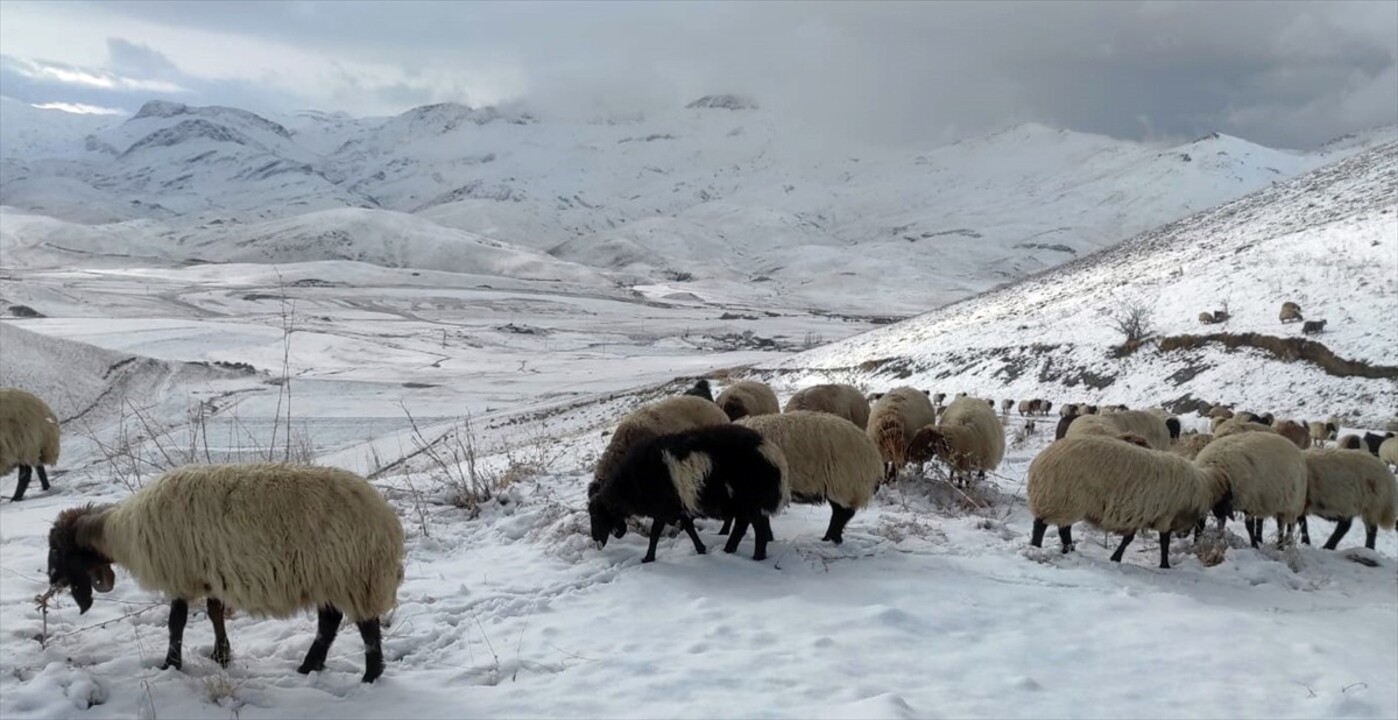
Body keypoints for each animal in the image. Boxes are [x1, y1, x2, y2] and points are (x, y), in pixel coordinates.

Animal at [45, 464, 405, 685]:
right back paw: (309, 667)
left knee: (365, 627)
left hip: (351, 573)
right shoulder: (209, 573)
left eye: (57, 547)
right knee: (330, 623)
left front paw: (171, 664)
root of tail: (386, 520)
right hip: (331, 577)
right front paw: (221, 655)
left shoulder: (181, 573)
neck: (121, 531)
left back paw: (369, 675)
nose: (50, 579)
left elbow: (176, 622)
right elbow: (214, 612)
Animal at [587, 422, 788, 564]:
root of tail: (772, 453)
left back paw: (756, 557)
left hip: (750, 501)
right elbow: (688, 528)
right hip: (746, 503)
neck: (631, 483)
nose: (595, 539)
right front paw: (701, 549)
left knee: (758, 528)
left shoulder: (663, 509)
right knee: (745, 526)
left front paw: (647, 558)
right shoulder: (679, 507)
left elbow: (655, 533)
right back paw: (731, 550)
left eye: (595, 515)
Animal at [1028, 433, 1224, 570]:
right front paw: (1165, 565)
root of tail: (1040, 461)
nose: (1183, 535)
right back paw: (1037, 547)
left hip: (1065, 501)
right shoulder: (1164, 515)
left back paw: (1068, 550)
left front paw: (1116, 558)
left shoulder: (1138, 514)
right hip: (1060, 499)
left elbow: (1129, 539)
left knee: (1063, 528)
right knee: (1042, 525)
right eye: (1199, 521)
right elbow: (1164, 541)